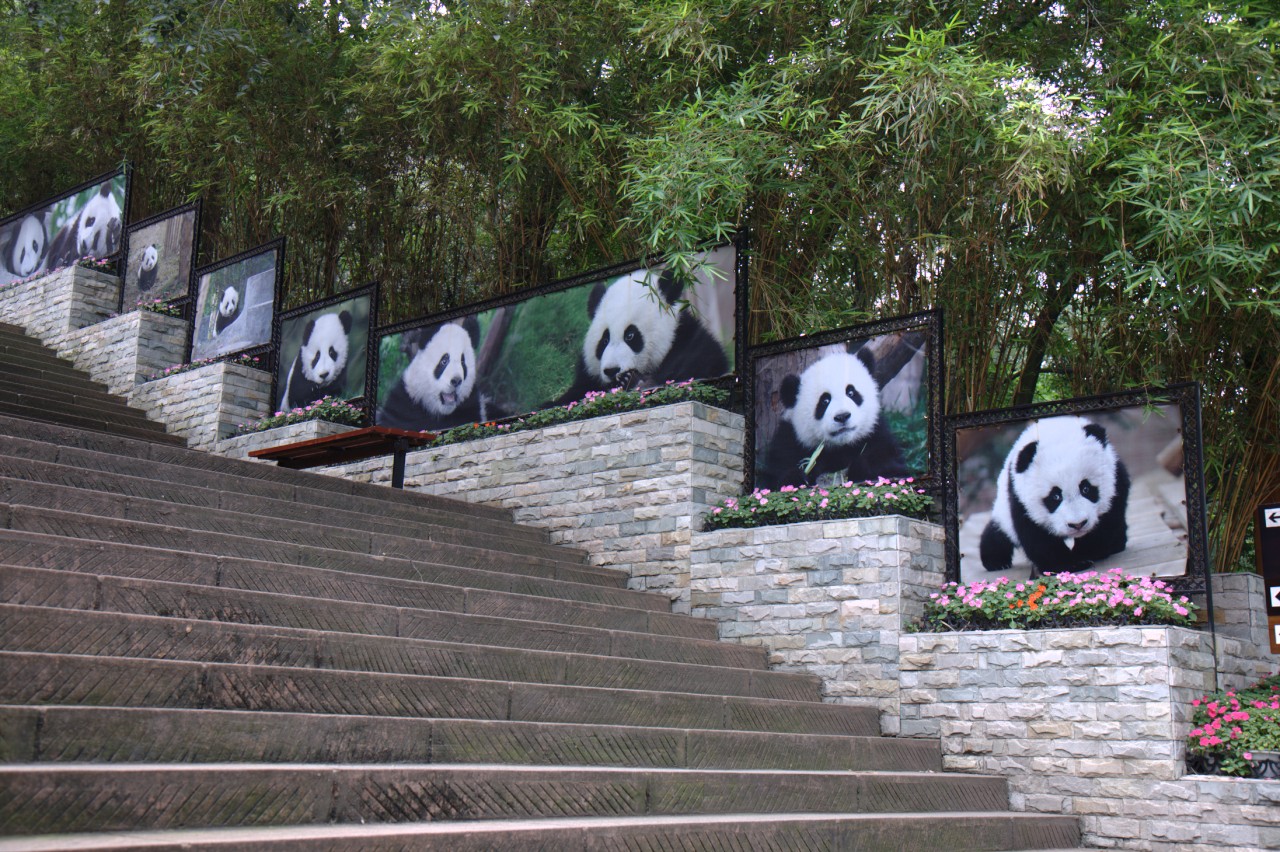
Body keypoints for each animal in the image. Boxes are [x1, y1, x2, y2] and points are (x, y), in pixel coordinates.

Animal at [555, 267, 729, 402]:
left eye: (630, 335)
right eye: (604, 340)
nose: (612, 371)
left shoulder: (693, 346)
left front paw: (634, 381)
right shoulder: (586, 379)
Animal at [756, 347, 909, 490]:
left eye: (851, 392)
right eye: (824, 401)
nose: (842, 416)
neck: (841, 447)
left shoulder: (876, 435)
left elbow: (889, 465)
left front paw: (859, 469)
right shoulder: (790, 442)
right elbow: (777, 475)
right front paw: (800, 478)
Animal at [979, 415, 1130, 578]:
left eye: (1086, 488)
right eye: (1055, 496)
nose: (1078, 524)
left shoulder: (1116, 482)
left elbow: (1107, 523)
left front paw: (1085, 552)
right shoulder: (1019, 498)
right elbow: (1037, 537)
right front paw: (1071, 563)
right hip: (1003, 510)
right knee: (999, 532)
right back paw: (996, 561)